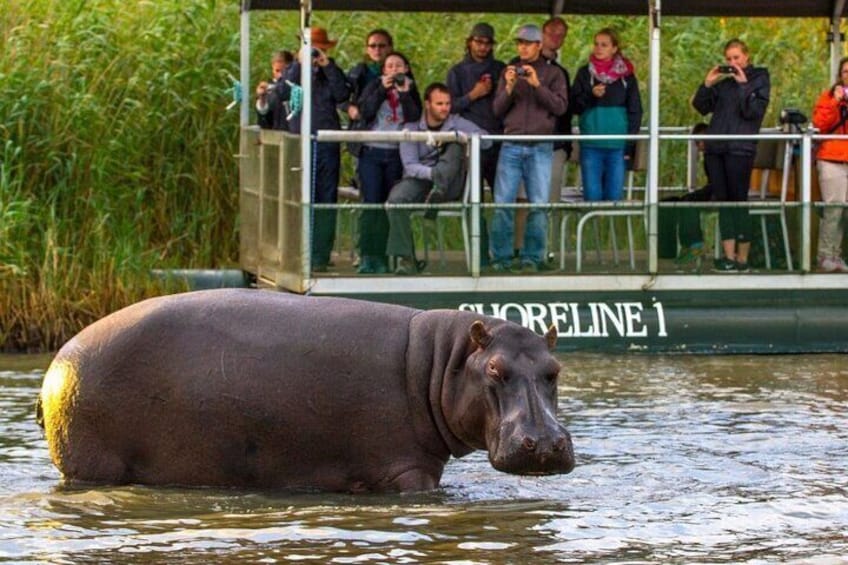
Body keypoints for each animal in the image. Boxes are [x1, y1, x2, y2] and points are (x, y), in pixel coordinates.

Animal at [36, 288, 572, 492]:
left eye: (555, 369)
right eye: (496, 370)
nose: (547, 443)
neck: (442, 362)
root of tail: (55, 364)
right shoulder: (406, 470)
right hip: (94, 466)